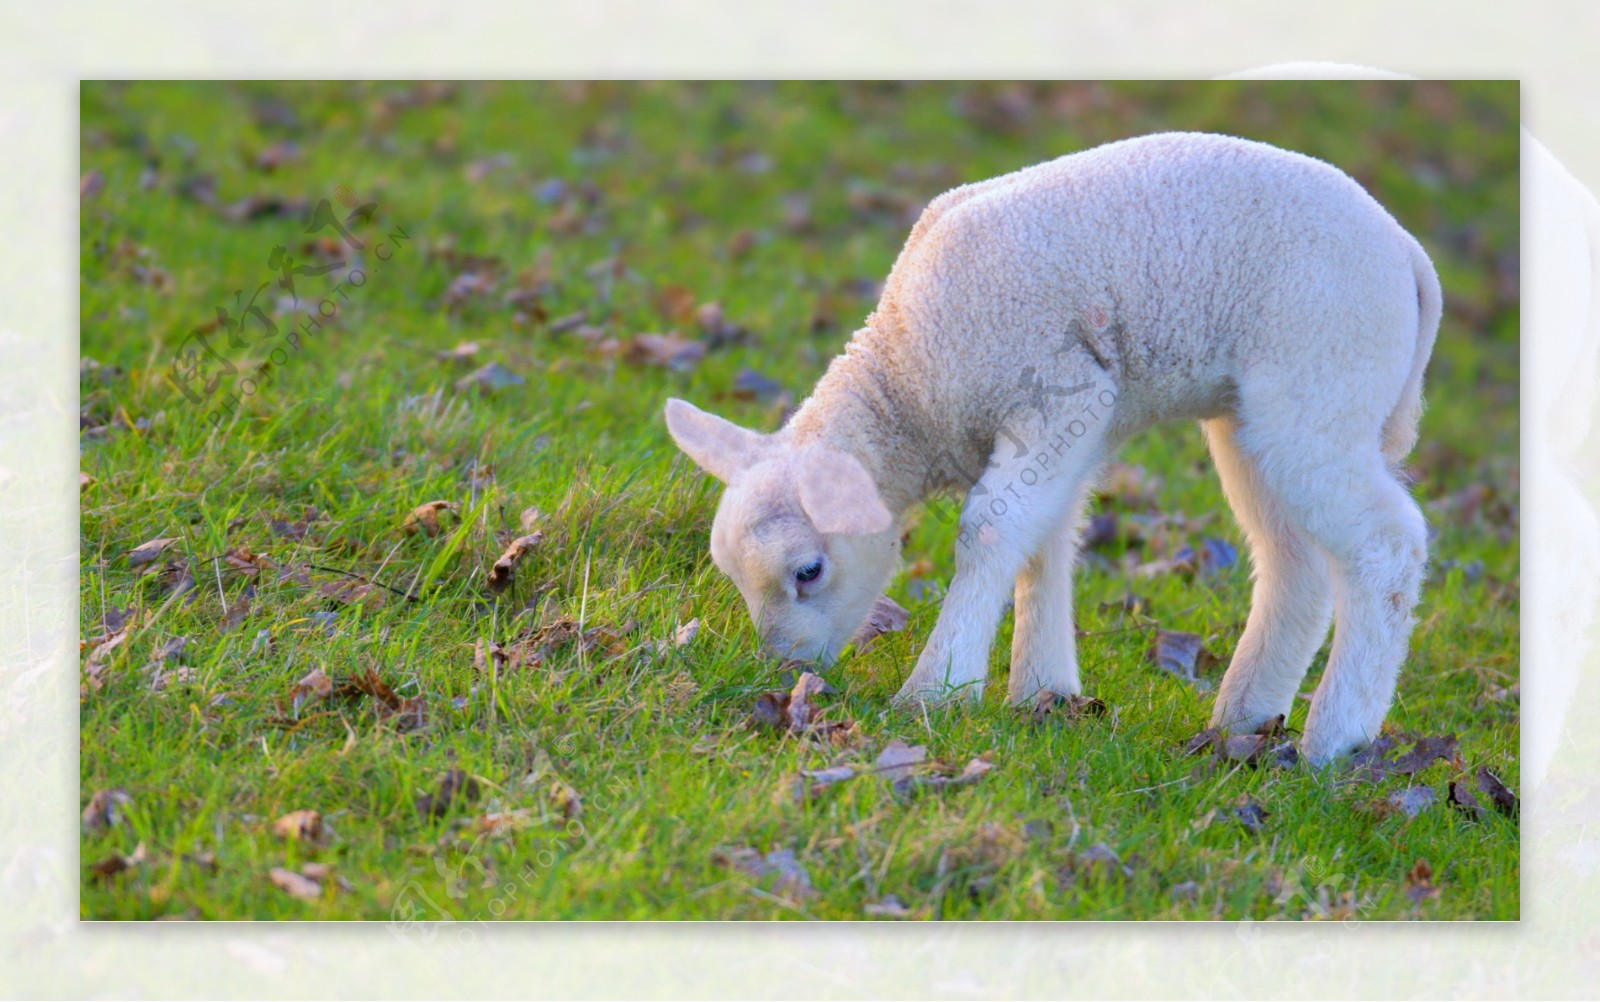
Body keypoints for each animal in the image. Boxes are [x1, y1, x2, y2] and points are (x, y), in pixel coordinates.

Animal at [662, 130, 1440, 755]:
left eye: (808, 571)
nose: (786, 673)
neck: (910, 379)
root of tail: (1407, 254)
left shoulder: (1059, 391)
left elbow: (989, 530)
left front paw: (937, 690)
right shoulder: (1077, 422)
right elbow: (1046, 538)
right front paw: (1043, 691)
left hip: (1322, 378)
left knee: (1387, 545)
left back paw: (1336, 741)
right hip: (1252, 413)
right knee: (1293, 559)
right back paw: (1244, 720)